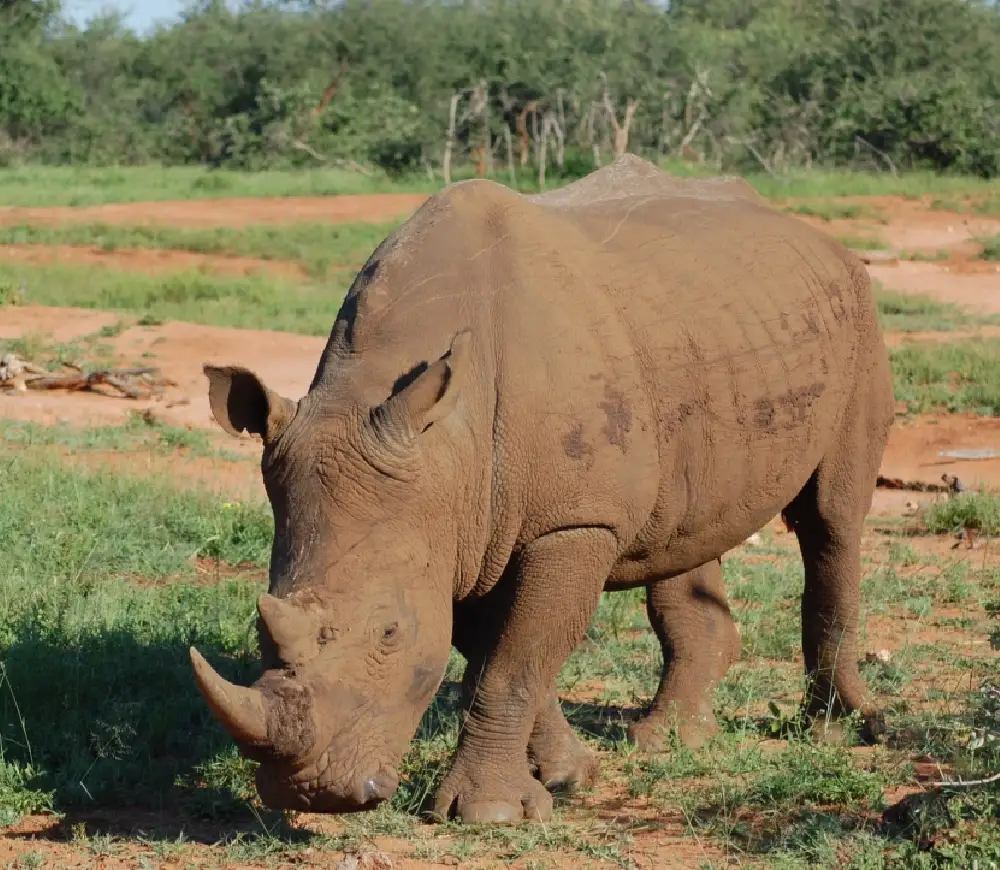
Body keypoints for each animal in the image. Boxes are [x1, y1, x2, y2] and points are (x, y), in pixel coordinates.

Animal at [190, 154, 894, 824]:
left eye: (390, 634)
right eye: (262, 625)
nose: (313, 794)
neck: (444, 441)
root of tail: (812, 231)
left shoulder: (572, 520)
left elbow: (514, 662)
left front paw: (490, 813)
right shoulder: (461, 522)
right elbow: (496, 653)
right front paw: (565, 776)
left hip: (860, 317)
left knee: (831, 520)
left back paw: (837, 731)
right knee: (689, 527)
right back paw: (669, 740)